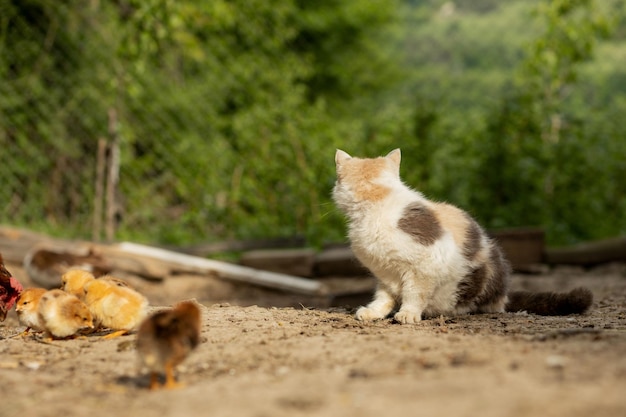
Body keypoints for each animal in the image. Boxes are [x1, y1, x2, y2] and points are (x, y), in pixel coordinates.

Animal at [332, 148, 588, 324]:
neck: (377, 201)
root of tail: (503, 296)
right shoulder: (385, 272)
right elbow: (384, 296)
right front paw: (373, 311)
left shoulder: (427, 262)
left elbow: (415, 292)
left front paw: (408, 313)